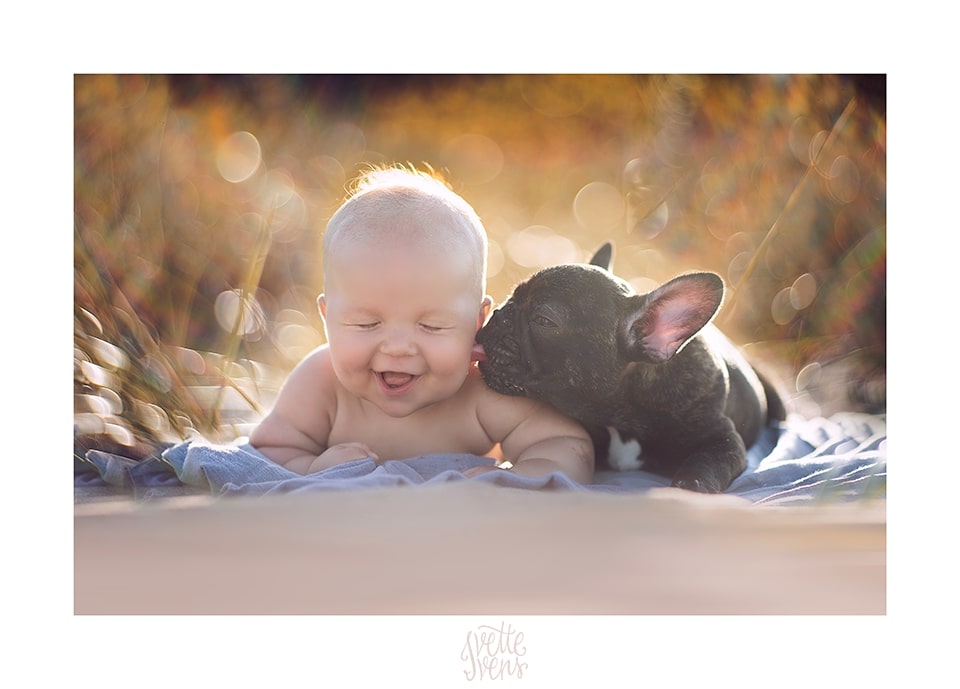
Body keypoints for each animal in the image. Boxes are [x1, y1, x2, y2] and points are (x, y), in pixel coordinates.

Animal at [476, 242, 784, 490]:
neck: (622, 415)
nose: (498, 313)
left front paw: (687, 489)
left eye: (543, 320)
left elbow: (703, 469)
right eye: (512, 296)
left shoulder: (723, 440)